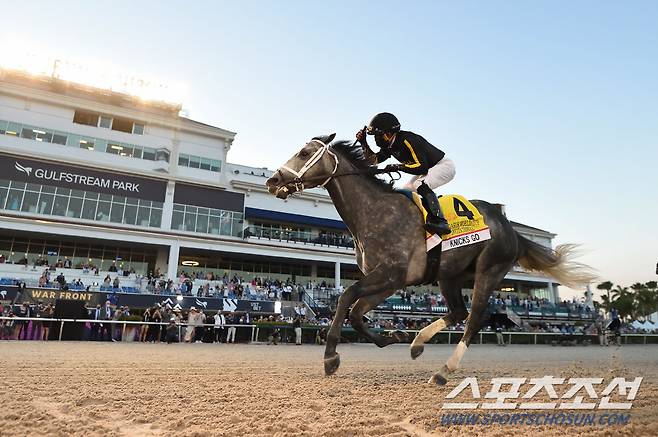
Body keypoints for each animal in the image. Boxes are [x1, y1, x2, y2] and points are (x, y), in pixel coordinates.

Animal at [264, 134, 592, 384]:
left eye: (304, 152)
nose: (273, 180)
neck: (374, 212)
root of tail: (509, 225)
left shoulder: (390, 274)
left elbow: (346, 297)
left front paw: (331, 356)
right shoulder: (391, 280)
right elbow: (356, 313)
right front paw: (394, 335)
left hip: (490, 270)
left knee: (474, 319)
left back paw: (445, 370)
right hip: (450, 275)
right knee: (458, 312)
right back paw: (417, 342)